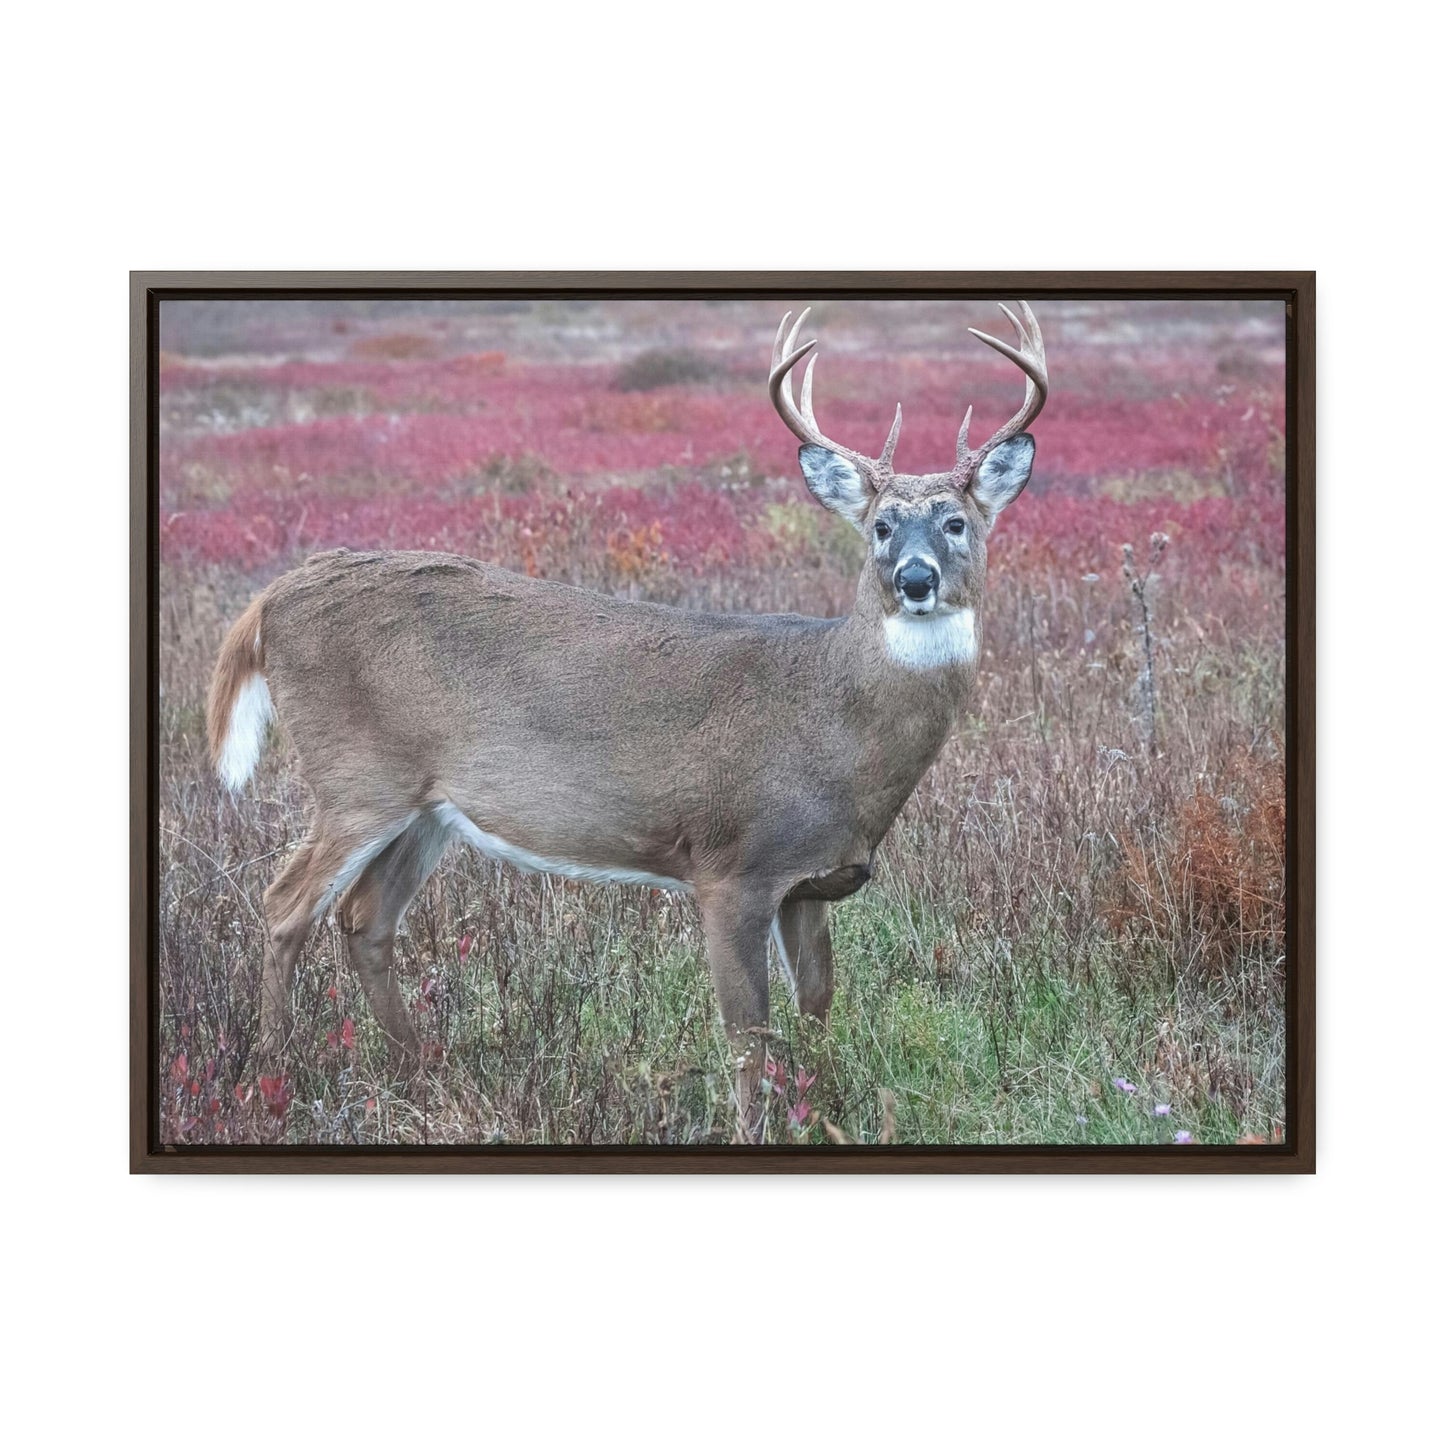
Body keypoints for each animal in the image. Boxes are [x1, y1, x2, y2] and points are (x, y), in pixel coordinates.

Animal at [206, 302, 1051, 1138]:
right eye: (879, 526)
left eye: (955, 522)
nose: (914, 579)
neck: (835, 724)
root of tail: (271, 599)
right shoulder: (730, 864)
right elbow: (748, 1035)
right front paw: (752, 1131)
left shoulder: (809, 882)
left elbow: (815, 1014)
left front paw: (824, 1119)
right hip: (356, 774)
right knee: (285, 905)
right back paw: (270, 1081)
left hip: (427, 806)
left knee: (364, 917)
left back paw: (422, 1074)